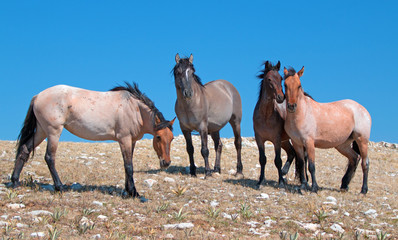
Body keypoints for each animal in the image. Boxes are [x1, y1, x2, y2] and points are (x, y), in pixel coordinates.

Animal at [10, 82, 174, 201]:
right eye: (158, 137)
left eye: (171, 138)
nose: (166, 163)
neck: (134, 109)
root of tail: (38, 96)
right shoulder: (124, 139)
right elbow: (129, 166)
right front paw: (134, 193)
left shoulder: (131, 141)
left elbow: (127, 165)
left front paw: (128, 190)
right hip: (53, 131)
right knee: (49, 157)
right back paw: (60, 187)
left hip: (41, 131)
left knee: (24, 150)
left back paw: (15, 182)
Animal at [282, 66, 374, 194]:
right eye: (285, 85)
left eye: (299, 85)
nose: (291, 106)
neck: (301, 113)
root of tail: (363, 109)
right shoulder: (297, 143)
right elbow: (301, 164)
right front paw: (303, 185)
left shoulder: (309, 142)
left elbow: (311, 166)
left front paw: (314, 187)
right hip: (342, 145)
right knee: (354, 158)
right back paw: (344, 185)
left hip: (362, 141)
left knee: (365, 163)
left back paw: (364, 190)